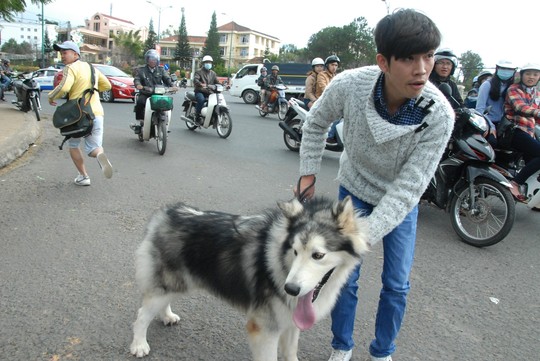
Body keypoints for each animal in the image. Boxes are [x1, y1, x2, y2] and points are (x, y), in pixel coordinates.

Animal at [129, 195, 370, 358]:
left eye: (318, 255)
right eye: (294, 251)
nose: (290, 289)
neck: (280, 262)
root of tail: (166, 214)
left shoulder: (290, 323)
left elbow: (291, 353)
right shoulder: (264, 330)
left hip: (177, 283)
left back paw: (167, 316)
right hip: (168, 283)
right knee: (142, 314)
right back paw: (139, 345)